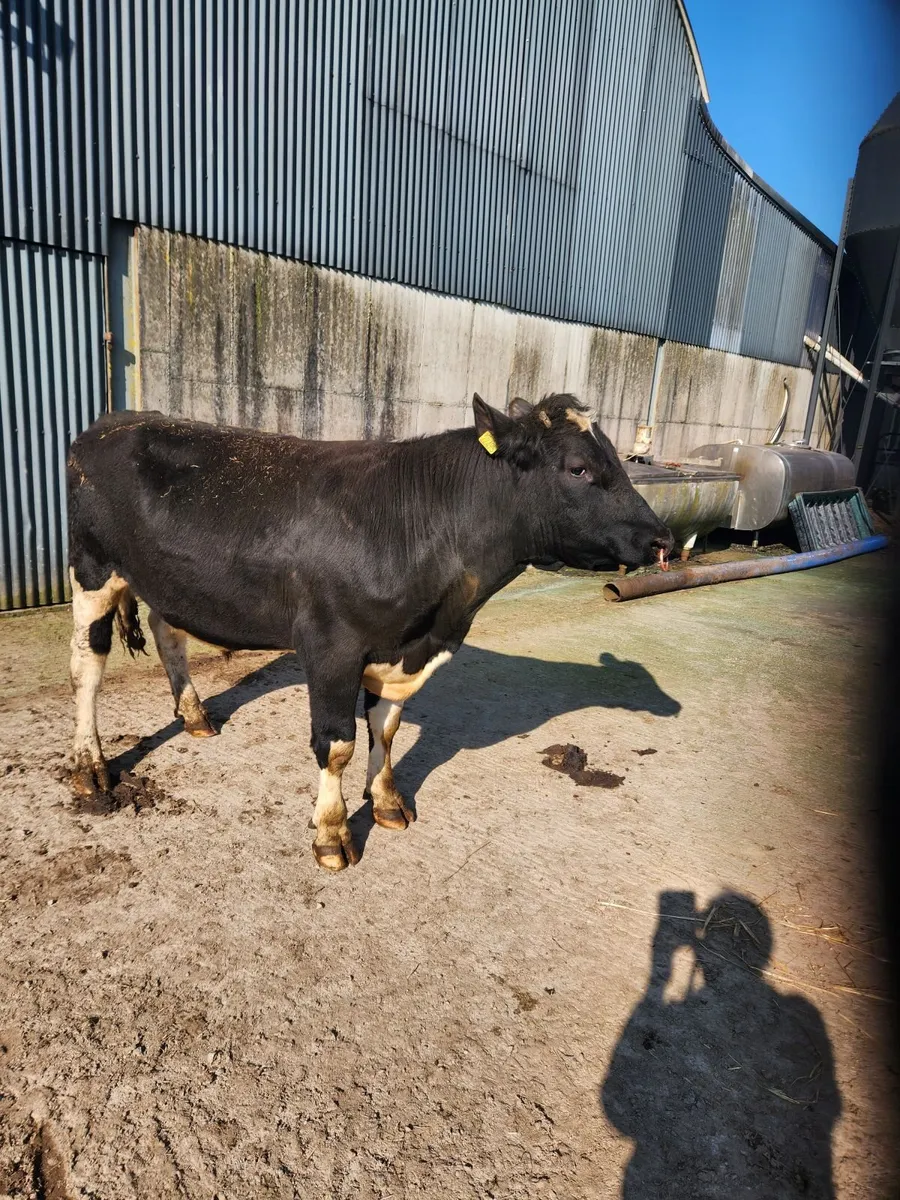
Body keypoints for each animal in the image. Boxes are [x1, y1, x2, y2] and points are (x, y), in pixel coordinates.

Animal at [66, 393, 673, 871]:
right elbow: (337, 745)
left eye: (615, 459)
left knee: (166, 630)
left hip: (171, 578)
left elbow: (387, 729)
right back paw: (89, 766)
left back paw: (193, 715)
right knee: (86, 668)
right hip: (92, 567)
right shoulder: (332, 644)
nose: (661, 538)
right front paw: (332, 834)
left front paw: (384, 801)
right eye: (578, 468)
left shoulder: (401, 647)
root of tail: (117, 418)